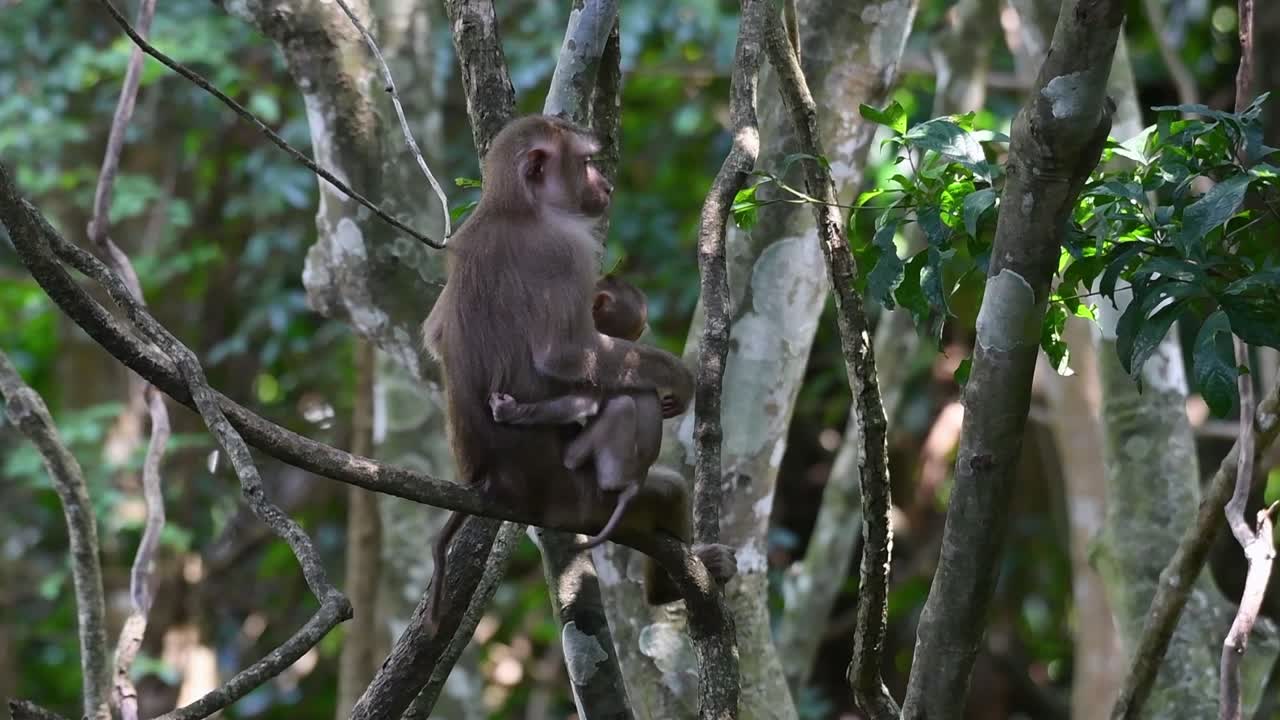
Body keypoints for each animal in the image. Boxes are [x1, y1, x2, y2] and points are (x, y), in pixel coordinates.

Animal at [486, 274, 673, 551]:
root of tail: (637, 480)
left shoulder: (593, 361)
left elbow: (585, 402)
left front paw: (509, 410)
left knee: (621, 406)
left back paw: (585, 466)